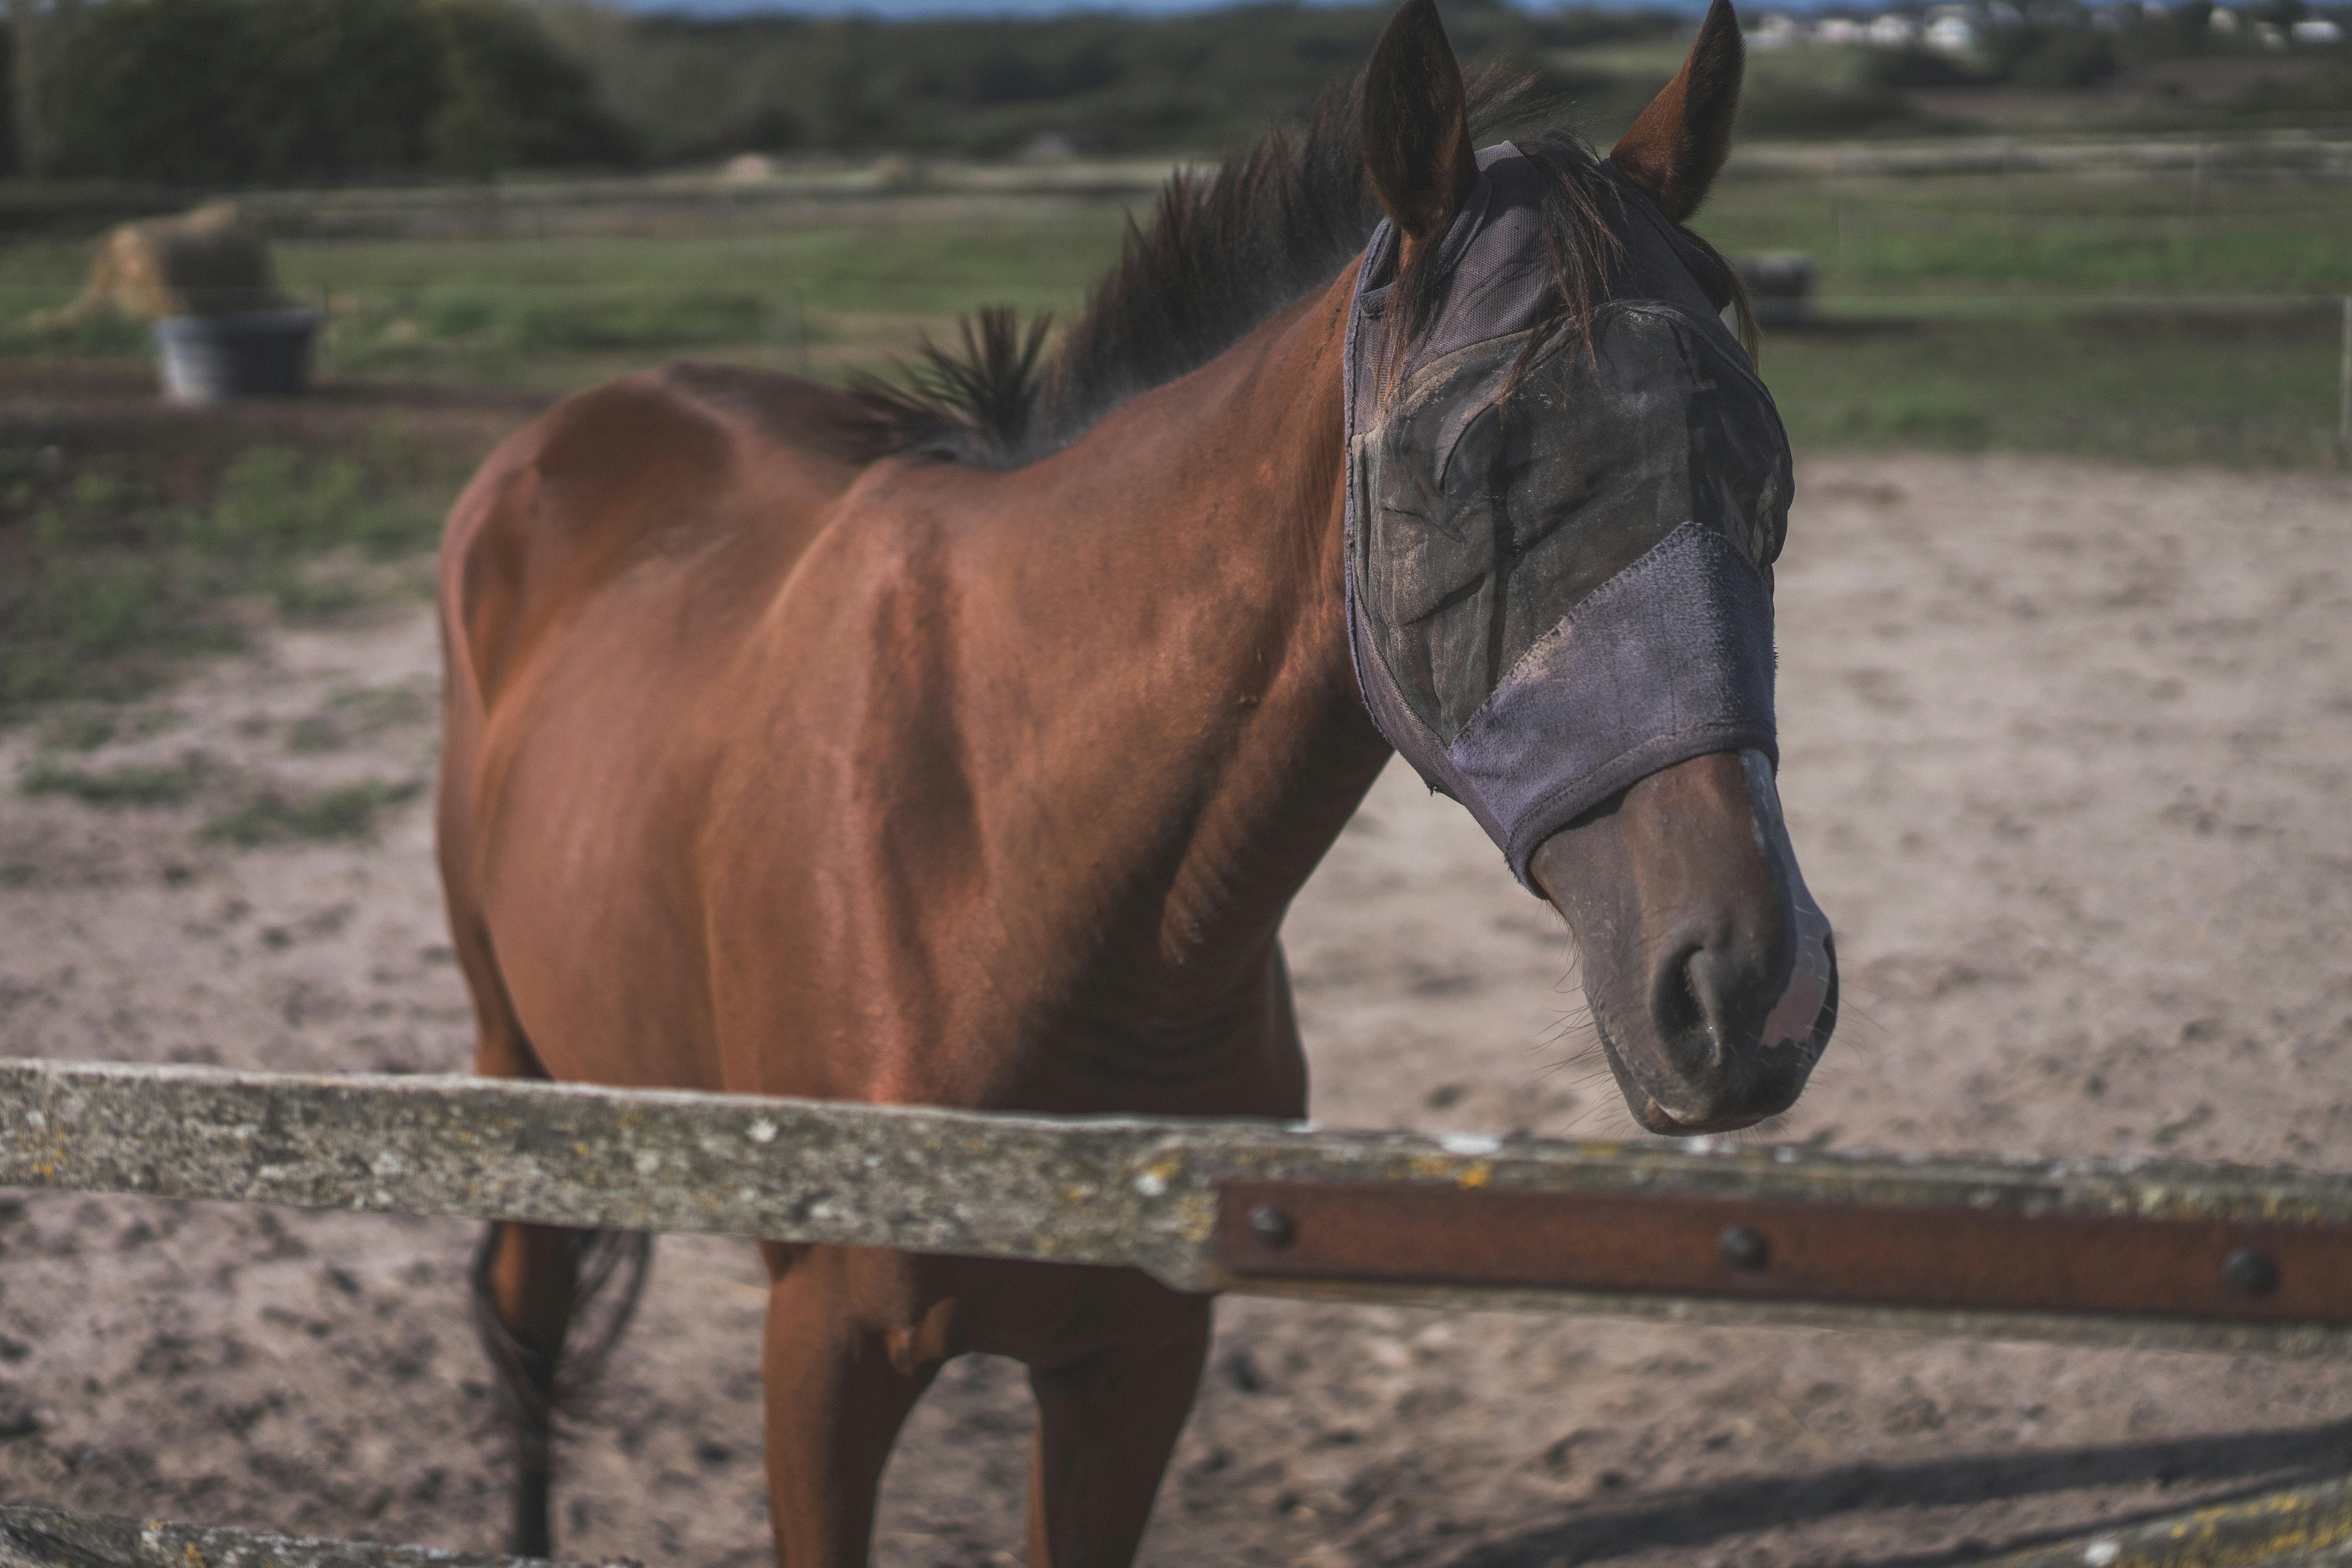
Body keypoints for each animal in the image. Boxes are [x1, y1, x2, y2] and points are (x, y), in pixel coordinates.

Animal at [437, 0, 1835, 1561]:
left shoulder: (1135, 1358)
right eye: (1460, 473)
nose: (1750, 987)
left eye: (1762, 467)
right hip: (516, 1054)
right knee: (530, 1313)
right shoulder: (824, 1353)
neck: (1003, 864)